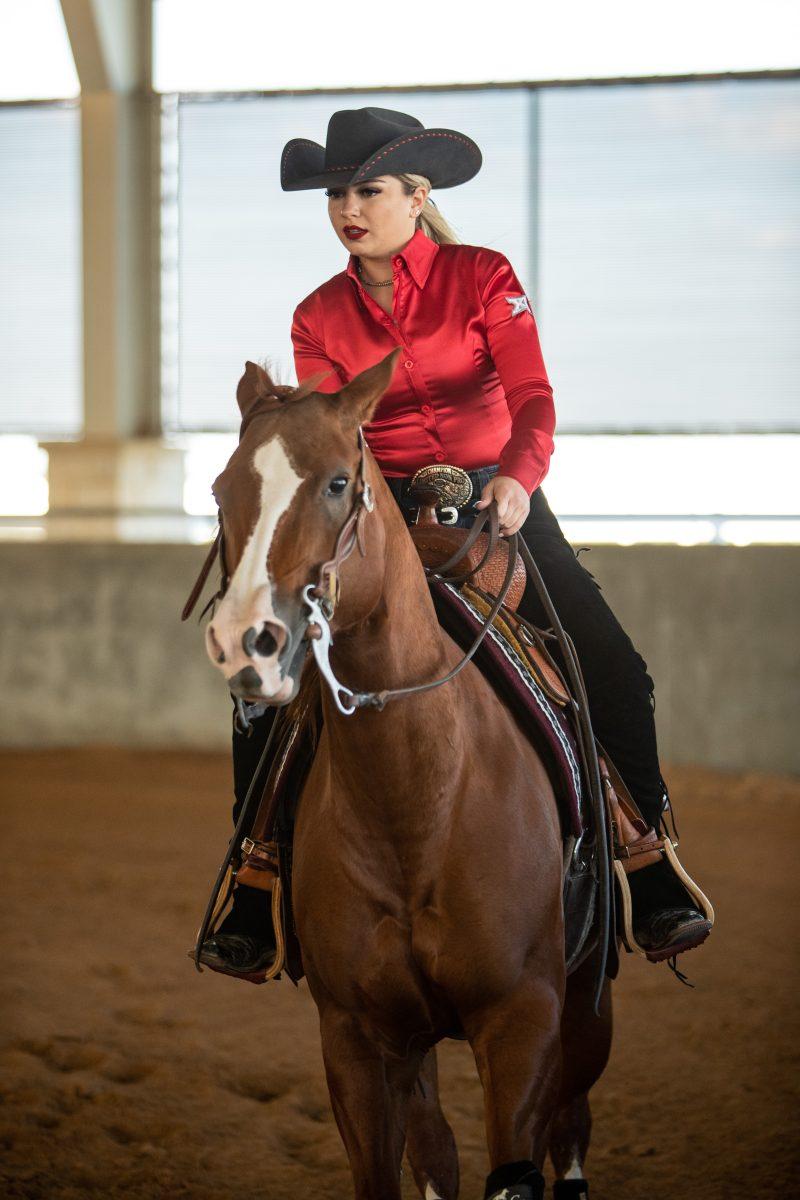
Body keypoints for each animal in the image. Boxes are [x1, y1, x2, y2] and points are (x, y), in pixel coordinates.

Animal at [203, 343, 609, 1195]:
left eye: (336, 483)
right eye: (223, 489)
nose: (246, 637)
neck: (419, 799)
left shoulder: (522, 1022)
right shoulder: (358, 1040)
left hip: (590, 1009)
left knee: (569, 1126)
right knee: (439, 1148)